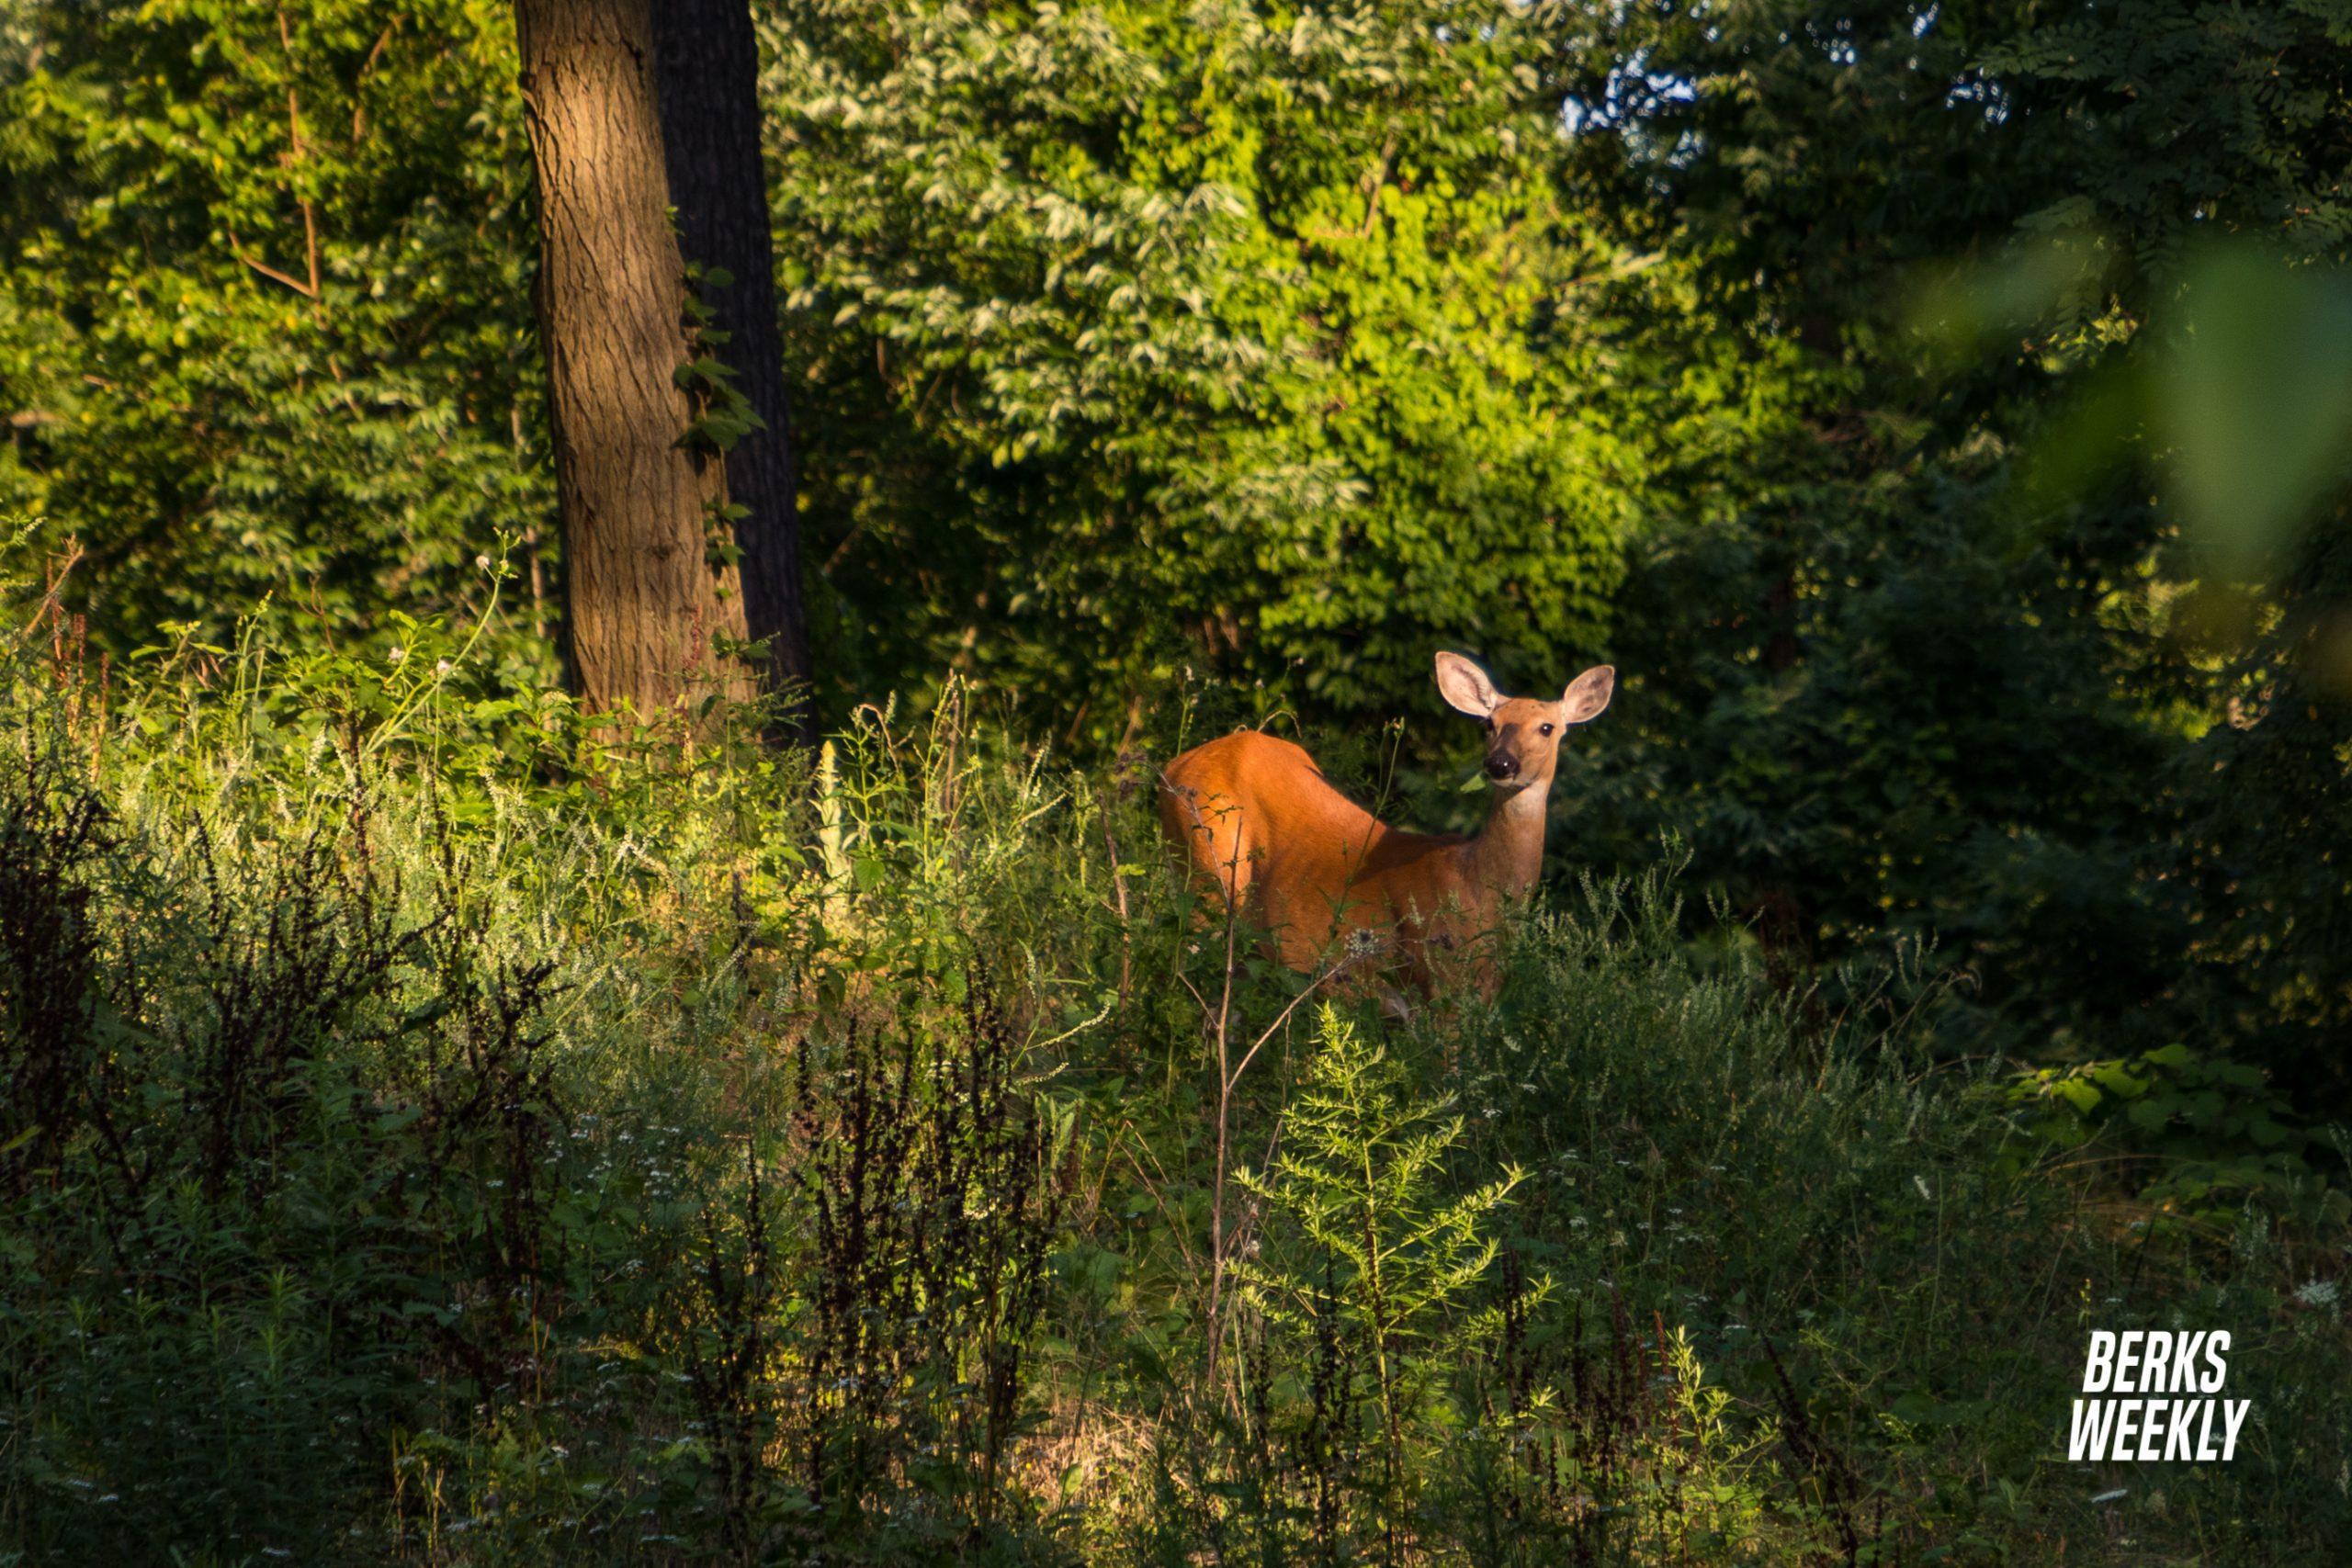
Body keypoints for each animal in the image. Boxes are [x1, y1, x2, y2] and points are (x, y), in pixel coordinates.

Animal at [1157, 652, 1615, 994]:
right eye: (1489, 724)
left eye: (1547, 727)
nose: (1500, 764)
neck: (1476, 886)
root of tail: (1174, 765)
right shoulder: (1439, 977)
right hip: (1206, 877)